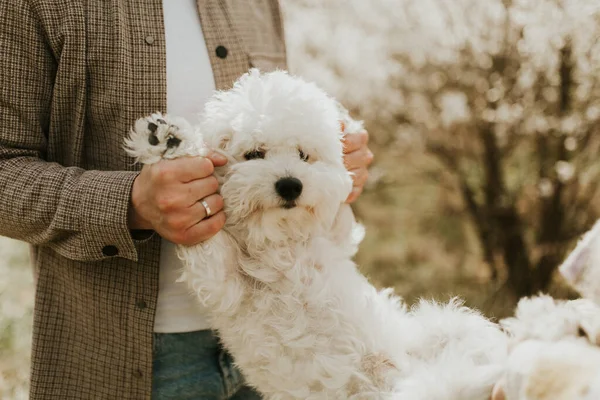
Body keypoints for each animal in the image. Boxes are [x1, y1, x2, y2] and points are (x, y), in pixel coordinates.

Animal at [125, 70, 506, 398]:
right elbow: (206, 244)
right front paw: (167, 143)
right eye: (254, 153)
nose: (290, 185)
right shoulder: (221, 283)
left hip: (448, 323)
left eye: (304, 155)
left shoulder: (339, 238)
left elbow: (342, 215)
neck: (282, 245)